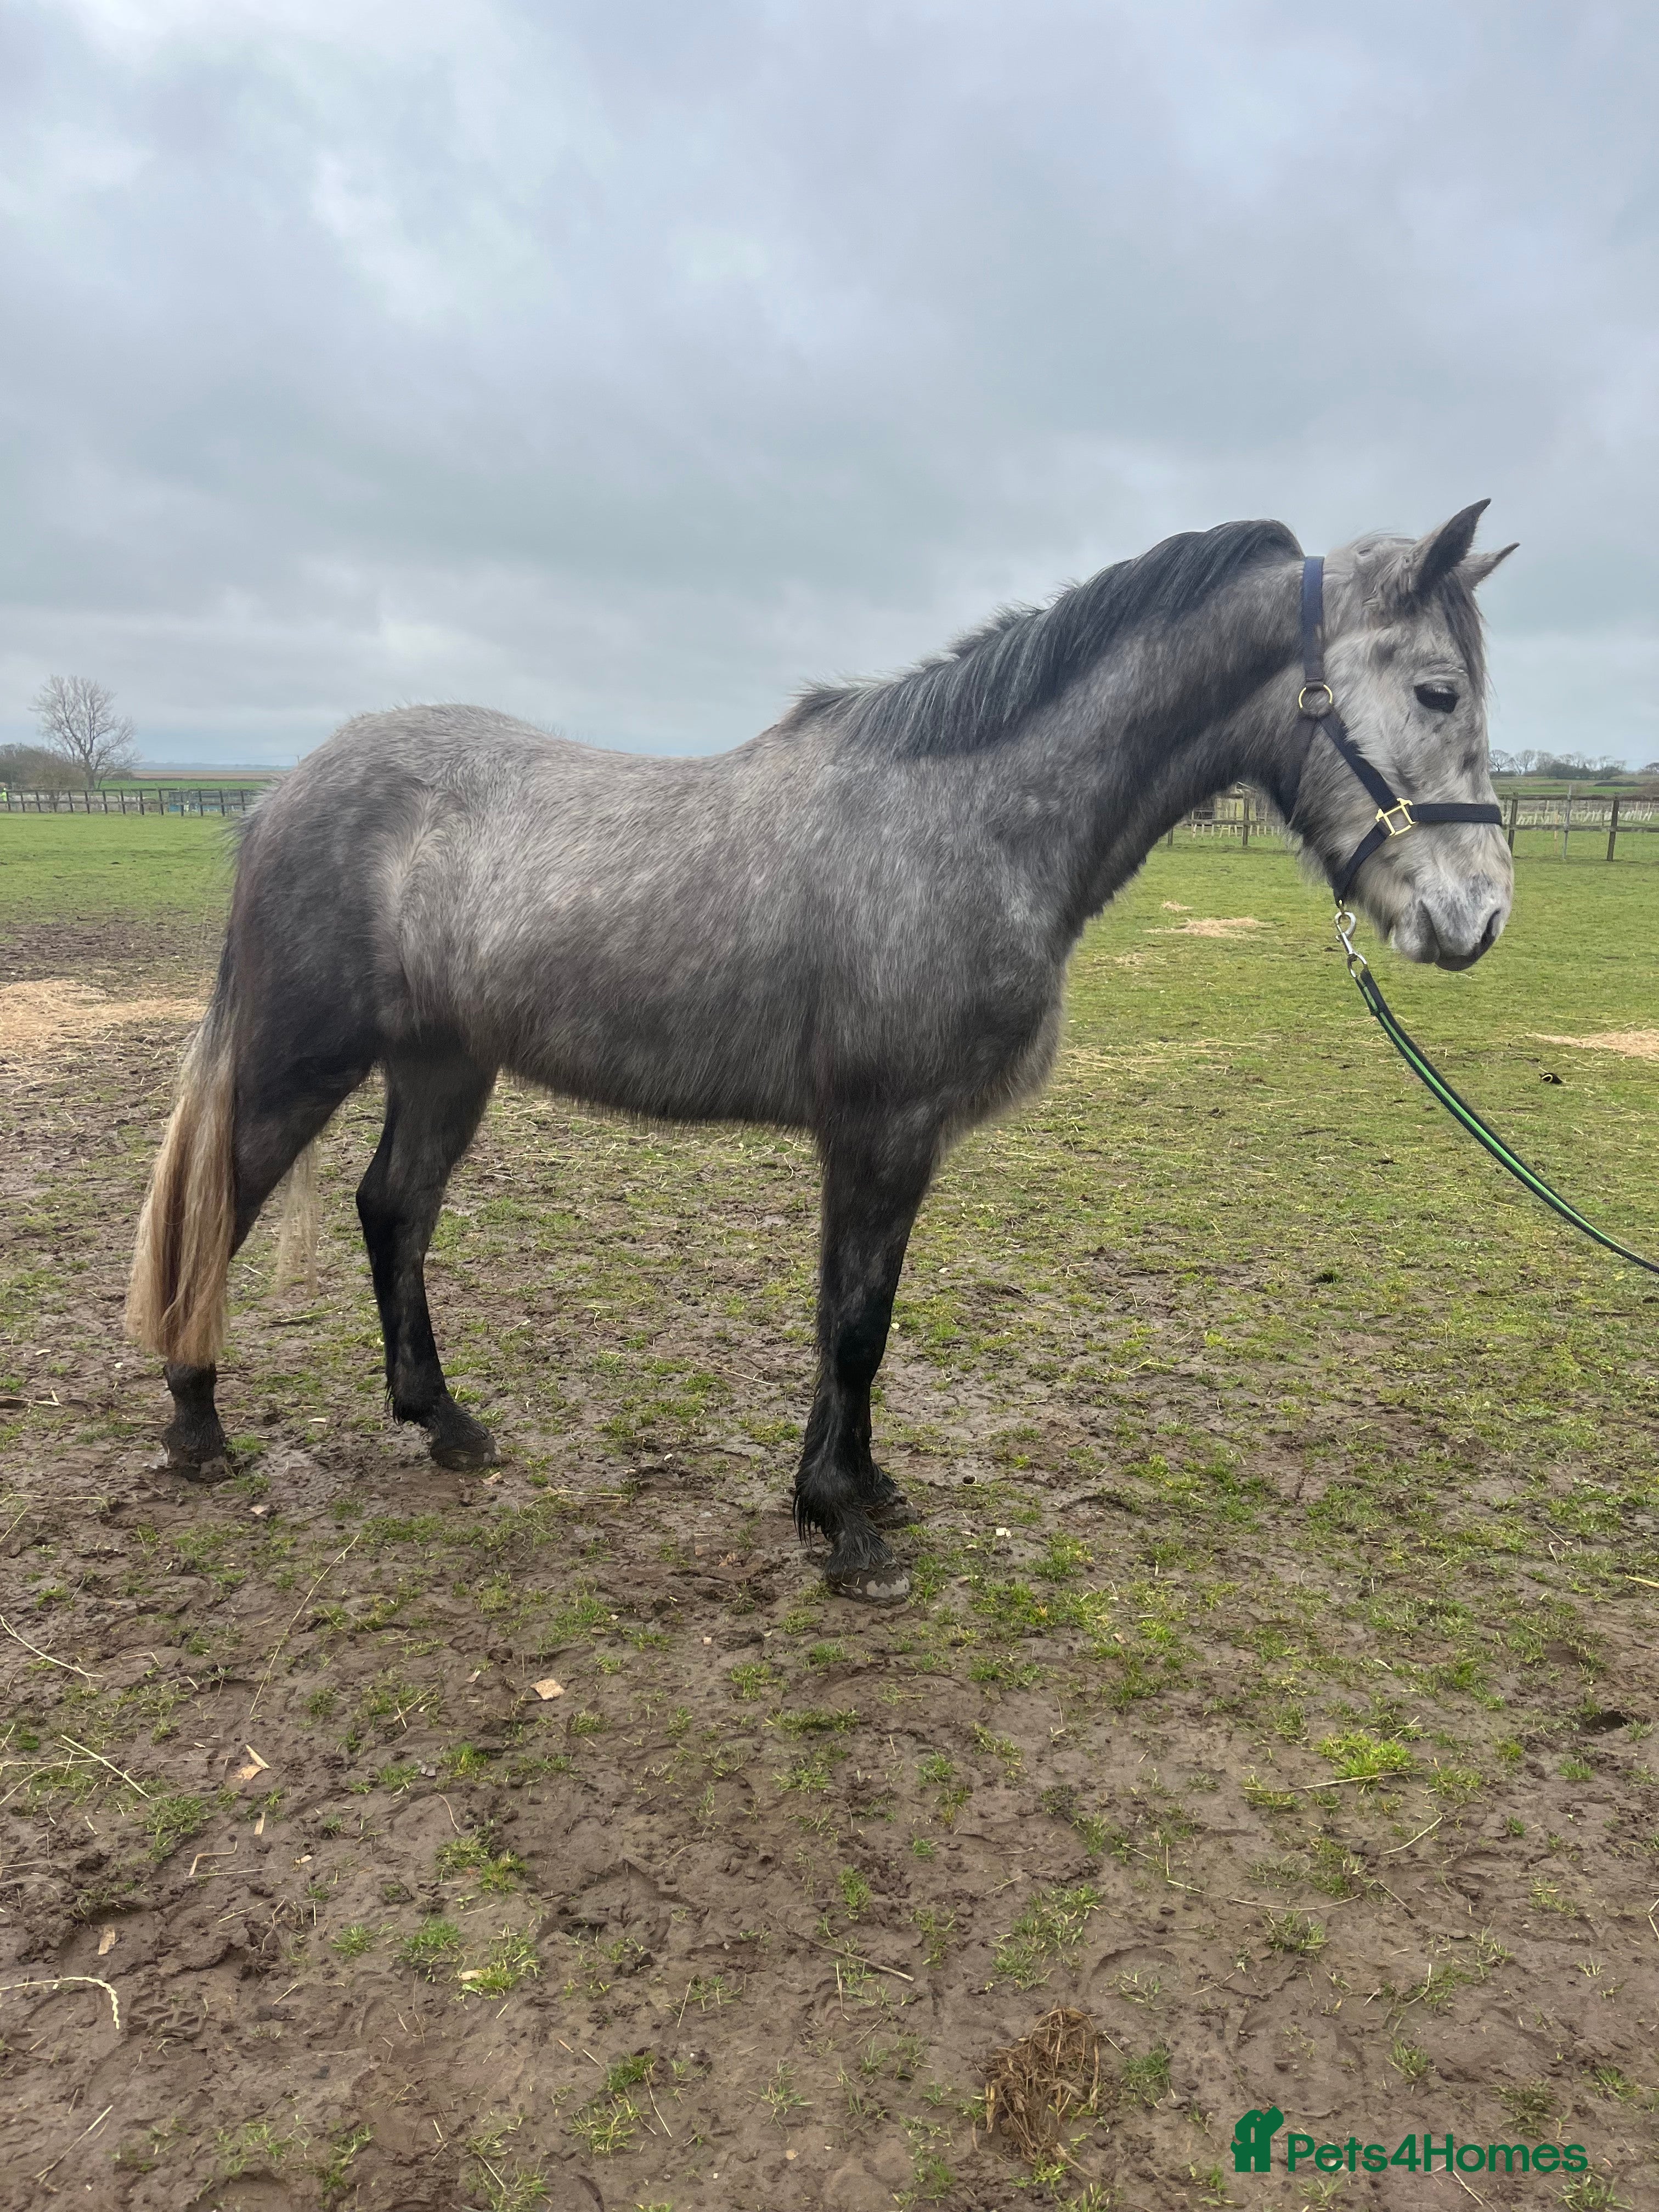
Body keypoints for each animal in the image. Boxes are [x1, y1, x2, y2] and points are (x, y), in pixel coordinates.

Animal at [128, 502, 1516, 1601]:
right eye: (1439, 690)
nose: (1479, 917)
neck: (964, 821)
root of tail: (284, 791)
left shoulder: (901, 1141)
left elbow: (866, 1318)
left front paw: (858, 1490)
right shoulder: (880, 1129)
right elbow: (852, 1324)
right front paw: (845, 1533)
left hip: (442, 1063)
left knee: (395, 1210)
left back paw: (445, 1424)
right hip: (305, 1056)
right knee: (224, 1205)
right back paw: (197, 1426)